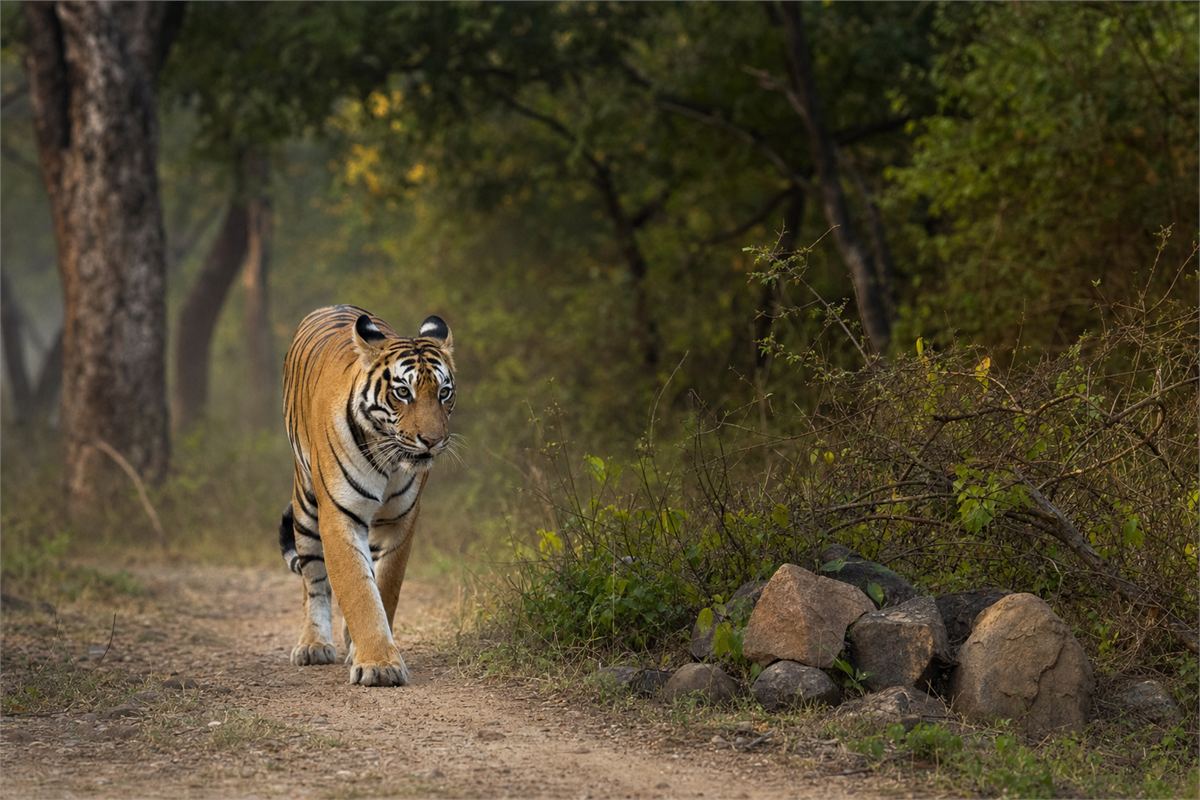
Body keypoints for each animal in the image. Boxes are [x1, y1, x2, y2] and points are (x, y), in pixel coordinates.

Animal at [277, 305, 456, 687]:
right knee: (314, 580)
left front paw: (366, 651)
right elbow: (358, 589)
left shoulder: (401, 521)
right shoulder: (339, 516)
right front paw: (379, 665)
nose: (432, 440)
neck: (389, 457)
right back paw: (314, 645)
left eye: (444, 392)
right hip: (305, 505)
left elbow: (384, 586)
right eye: (403, 392)